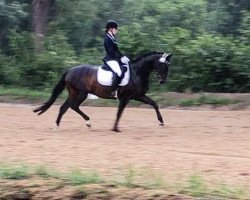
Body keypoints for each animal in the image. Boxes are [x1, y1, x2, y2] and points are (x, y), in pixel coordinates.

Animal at [33, 51, 172, 132]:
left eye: (167, 66)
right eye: (163, 65)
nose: (162, 81)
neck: (136, 73)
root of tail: (70, 70)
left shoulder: (139, 95)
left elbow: (154, 104)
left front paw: (161, 122)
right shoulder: (126, 98)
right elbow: (119, 112)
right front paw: (115, 128)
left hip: (75, 93)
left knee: (66, 107)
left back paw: (61, 124)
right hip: (80, 93)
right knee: (72, 106)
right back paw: (84, 122)